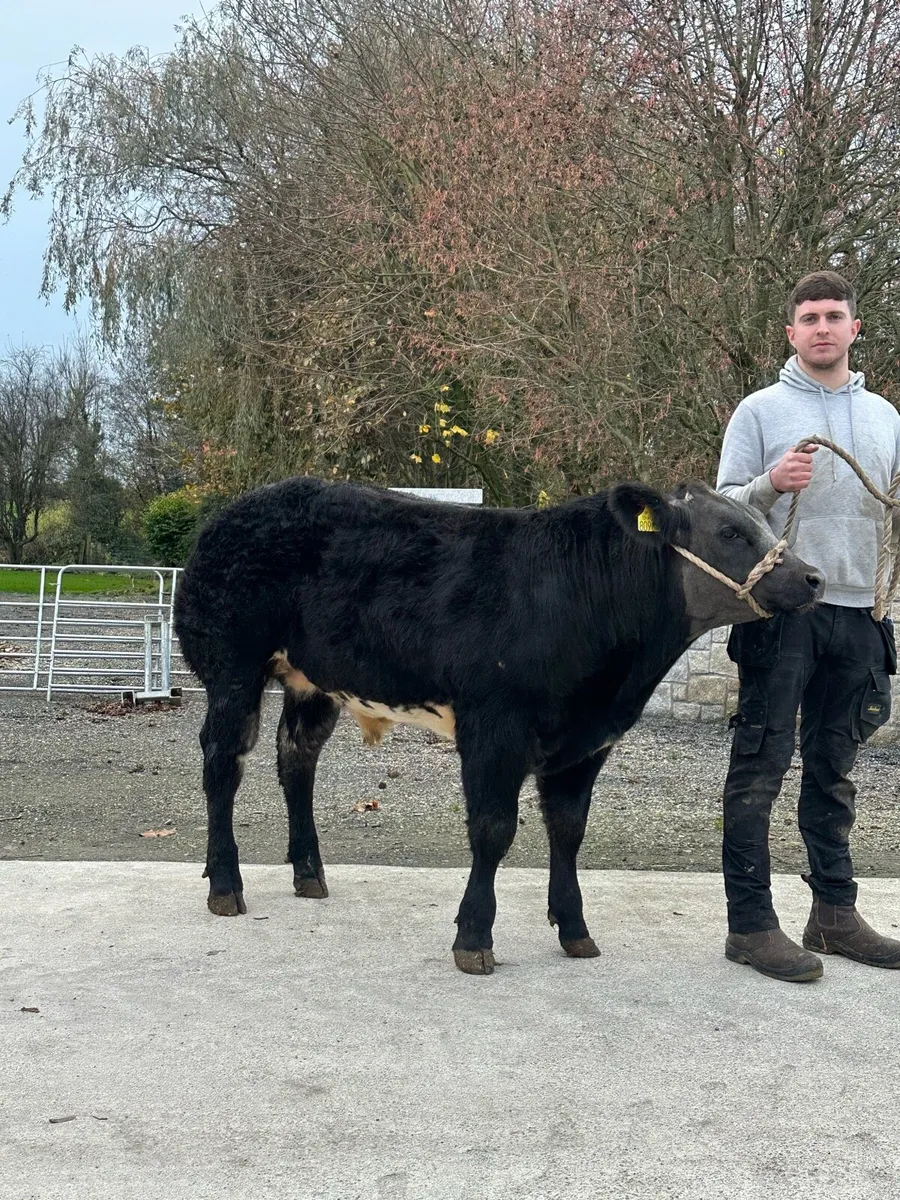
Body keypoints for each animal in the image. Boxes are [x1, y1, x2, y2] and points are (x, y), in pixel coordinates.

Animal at [173, 476, 822, 974]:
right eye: (730, 532)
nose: (813, 577)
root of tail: (233, 512)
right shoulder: (494, 725)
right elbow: (493, 830)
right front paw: (473, 937)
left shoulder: (586, 741)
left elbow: (568, 830)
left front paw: (575, 928)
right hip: (233, 668)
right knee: (222, 764)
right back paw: (225, 883)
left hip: (311, 680)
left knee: (296, 758)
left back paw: (308, 871)